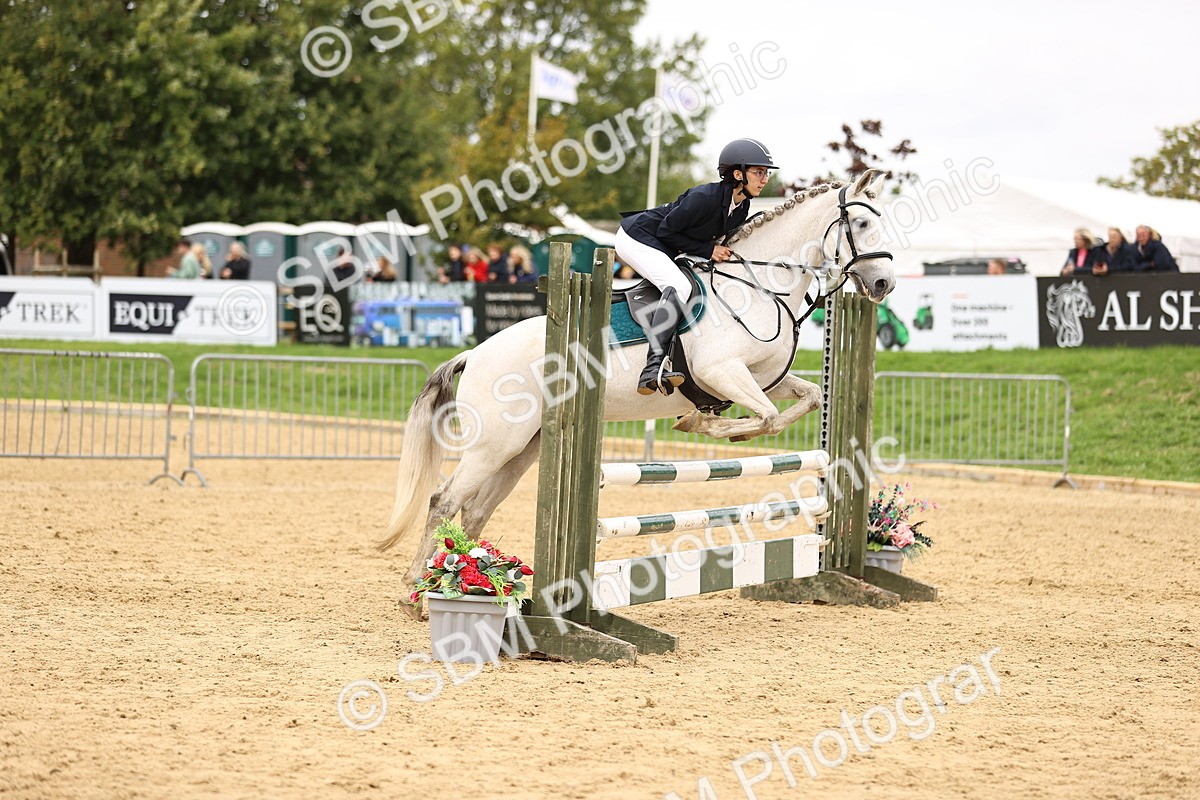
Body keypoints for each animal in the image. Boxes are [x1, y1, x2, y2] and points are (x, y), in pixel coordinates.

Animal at [380, 170, 896, 612]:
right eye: (862, 222)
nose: (884, 284)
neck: (758, 286)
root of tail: (475, 353)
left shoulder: (764, 375)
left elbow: (806, 399)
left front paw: (713, 422)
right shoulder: (723, 370)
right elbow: (765, 416)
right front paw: (704, 423)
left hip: (524, 447)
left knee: (476, 508)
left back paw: (470, 578)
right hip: (493, 443)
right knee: (444, 501)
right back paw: (418, 590)